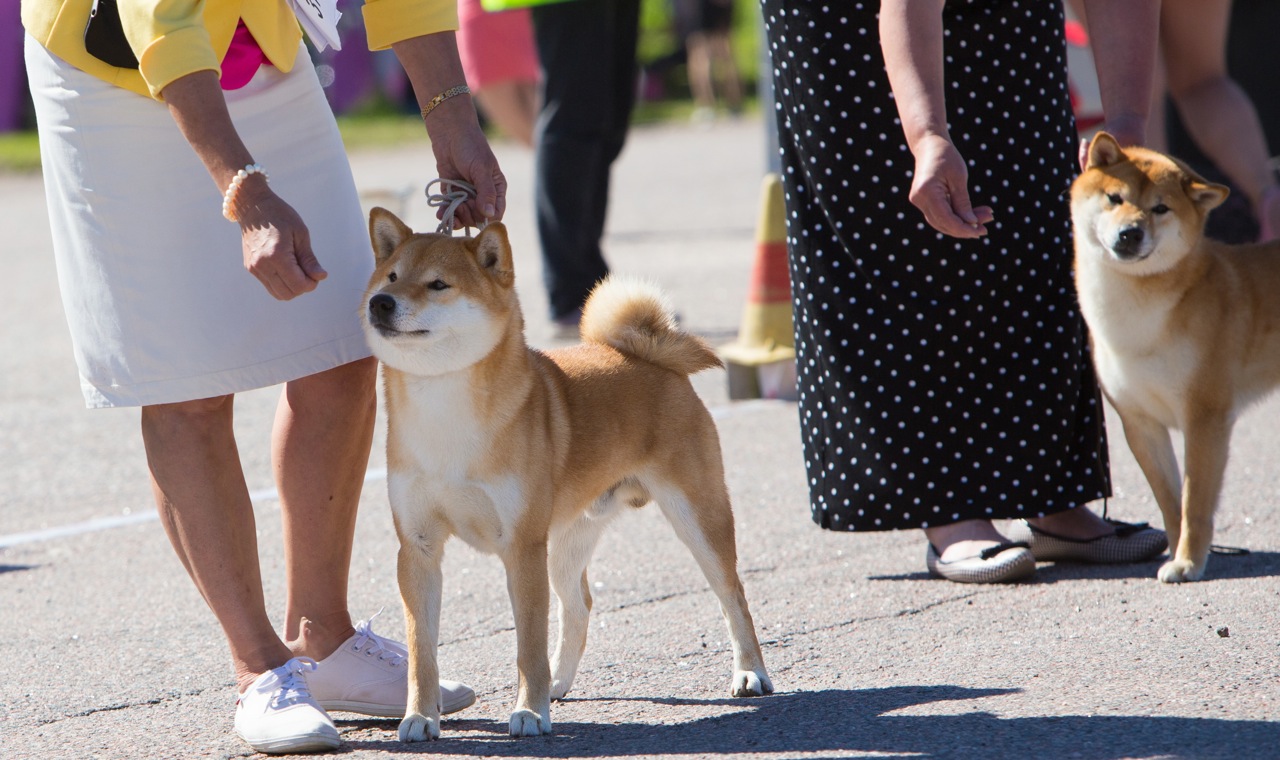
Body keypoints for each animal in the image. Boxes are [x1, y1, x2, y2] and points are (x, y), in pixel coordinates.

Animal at [363, 207, 778, 742]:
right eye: (391, 277)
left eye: (437, 284)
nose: (380, 302)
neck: (444, 412)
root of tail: (646, 356)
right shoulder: (418, 547)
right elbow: (422, 652)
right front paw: (419, 717)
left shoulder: (521, 546)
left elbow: (528, 645)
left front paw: (529, 712)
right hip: (565, 541)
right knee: (579, 603)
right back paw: (559, 682)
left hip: (696, 516)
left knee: (732, 594)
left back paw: (750, 672)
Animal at [1070, 130, 1269, 580]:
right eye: (1114, 197)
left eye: (1160, 208)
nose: (1130, 233)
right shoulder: (1140, 423)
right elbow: (1170, 502)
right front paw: (1179, 553)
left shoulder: (1205, 417)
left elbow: (1195, 503)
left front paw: (1188, 562)